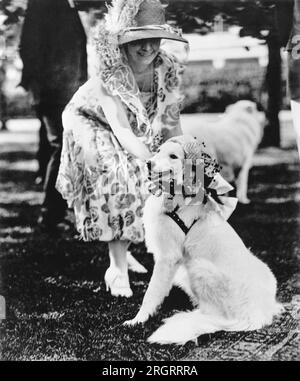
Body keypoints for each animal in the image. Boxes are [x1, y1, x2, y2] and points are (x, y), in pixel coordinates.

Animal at [123, 134, 282, 344]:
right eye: (158, 151)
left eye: (173, 156)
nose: (148, 163)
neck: (179, 196)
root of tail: (256, 315)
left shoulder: (167, 257)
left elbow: (151, 293)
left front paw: (138, 319)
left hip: (198, 267)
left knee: (214, 314)